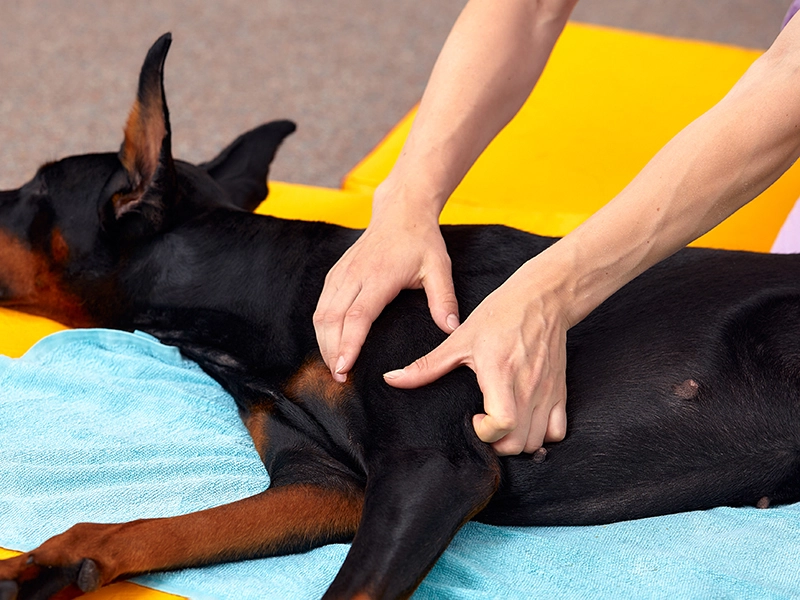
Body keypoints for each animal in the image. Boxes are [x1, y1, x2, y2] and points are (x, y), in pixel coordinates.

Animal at [1, 31, 800, 600]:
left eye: (35, 191)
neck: (270, 293)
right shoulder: (324, 486)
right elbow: (169, 525)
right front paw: (50, 562)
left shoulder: (430, 466)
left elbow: (352, 589)